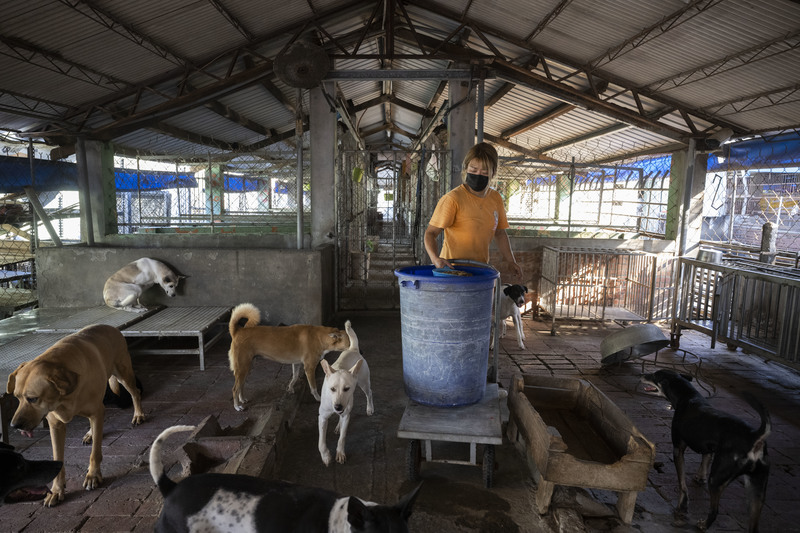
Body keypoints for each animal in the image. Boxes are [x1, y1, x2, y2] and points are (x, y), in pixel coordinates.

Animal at [6, 322, 146, 504]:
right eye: (16, 397)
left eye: (33, 399)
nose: (14, 425)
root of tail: (111, 327)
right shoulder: (55, 425)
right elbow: (58, 457)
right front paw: (56, 490)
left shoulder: (96, 412)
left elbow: (95, 453)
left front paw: (93, 475)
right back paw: (91, 433)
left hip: (123, 373)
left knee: (135, 392)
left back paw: (138, 414)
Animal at [318, 320, 374, 466]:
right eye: (332, 389)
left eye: (347, 388)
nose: (338, 407)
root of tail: (353, 349)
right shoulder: (322, 417)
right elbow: (321, 441)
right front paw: (326, 456)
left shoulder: (346, 415)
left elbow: (342, 438)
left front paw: (340, 453)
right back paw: (338, 425)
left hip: (364, 383)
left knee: (369, 393)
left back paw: (370, 408)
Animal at [636, 370, 768, 532]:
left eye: (654, 375)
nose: (642, 374)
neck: (687, 395)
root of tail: (756, 438)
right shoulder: (709, 447)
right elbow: (705, 460)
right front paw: (700, 477)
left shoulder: (678, 449)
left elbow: (682, 484)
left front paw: (682, 506)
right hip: (756, 490)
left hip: (717, 478)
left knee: (715, 510)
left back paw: (704, 524)